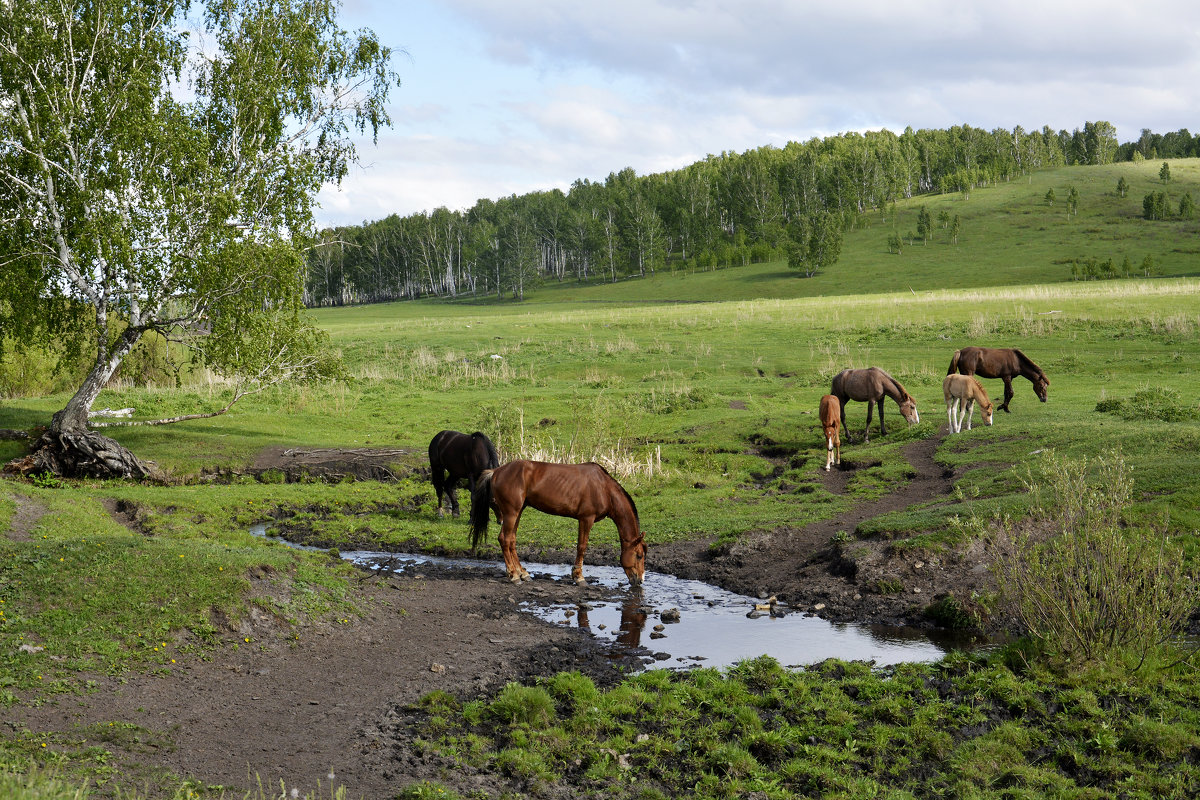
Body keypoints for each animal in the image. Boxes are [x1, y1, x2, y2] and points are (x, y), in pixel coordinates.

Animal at [472, 460, 652, 585]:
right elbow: (582, 546)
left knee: (511, 540)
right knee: (504, 539)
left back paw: (523, 573)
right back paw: (514, 575)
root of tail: (496, 471)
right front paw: (578, 577)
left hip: (518, 511)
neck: (604, 488)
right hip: (511, 513)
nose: (640, 580)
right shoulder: (586, 519)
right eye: (639, 555)